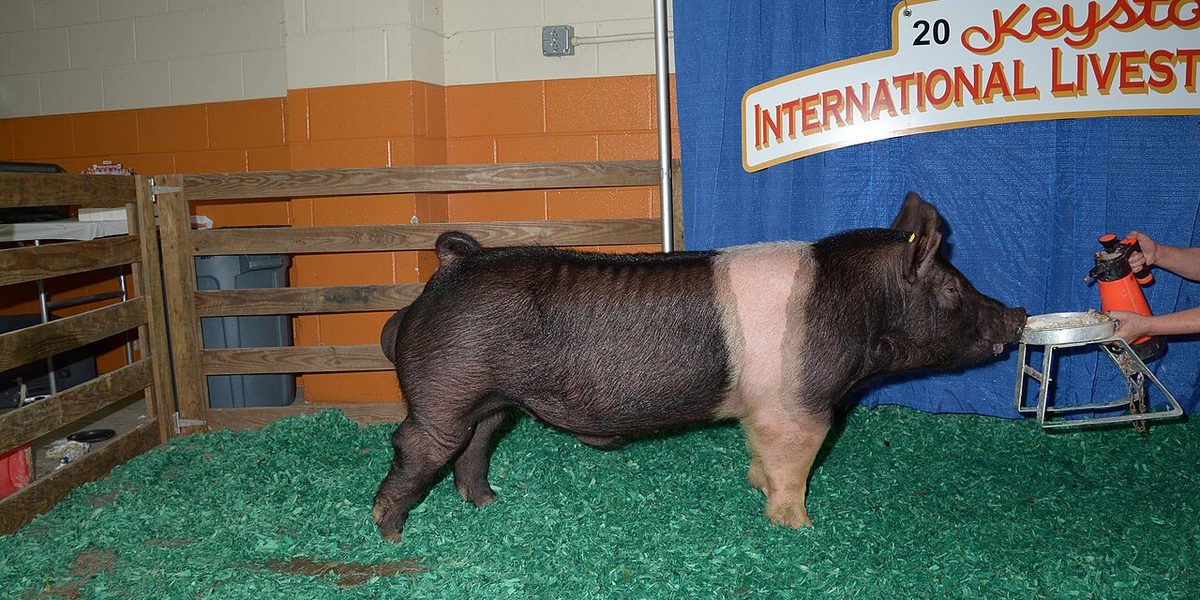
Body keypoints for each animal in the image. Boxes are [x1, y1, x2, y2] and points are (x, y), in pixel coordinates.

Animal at [372, 192, 1026, 542]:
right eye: (951, 288)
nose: (1017, 314)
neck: (865, 314)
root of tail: (455, 264)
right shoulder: (800, 406)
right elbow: (795, 468)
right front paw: (799, 529)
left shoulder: (765, 411)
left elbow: (762, 455)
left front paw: (757, 488)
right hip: (444, 391)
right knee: (417, 446)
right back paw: (391, 532)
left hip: (491, 402)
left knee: (476, 446)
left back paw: (490, 504)